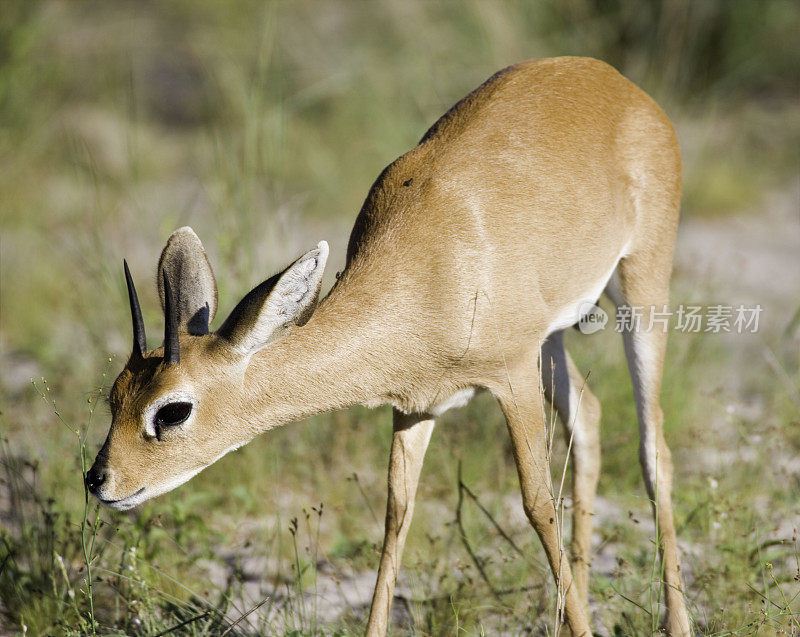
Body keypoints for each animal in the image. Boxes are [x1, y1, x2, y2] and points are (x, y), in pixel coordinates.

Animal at [86, 57, 688, 632]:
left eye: (172, 410)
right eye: (115, 396)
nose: (99, 480)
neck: (431, 266)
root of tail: (615, 82)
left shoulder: (512, 376)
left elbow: (538, 505)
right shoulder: (417, 405)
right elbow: (398, 511)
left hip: (641, 291)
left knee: (654, 448)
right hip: (553, 338)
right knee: (588, 415)